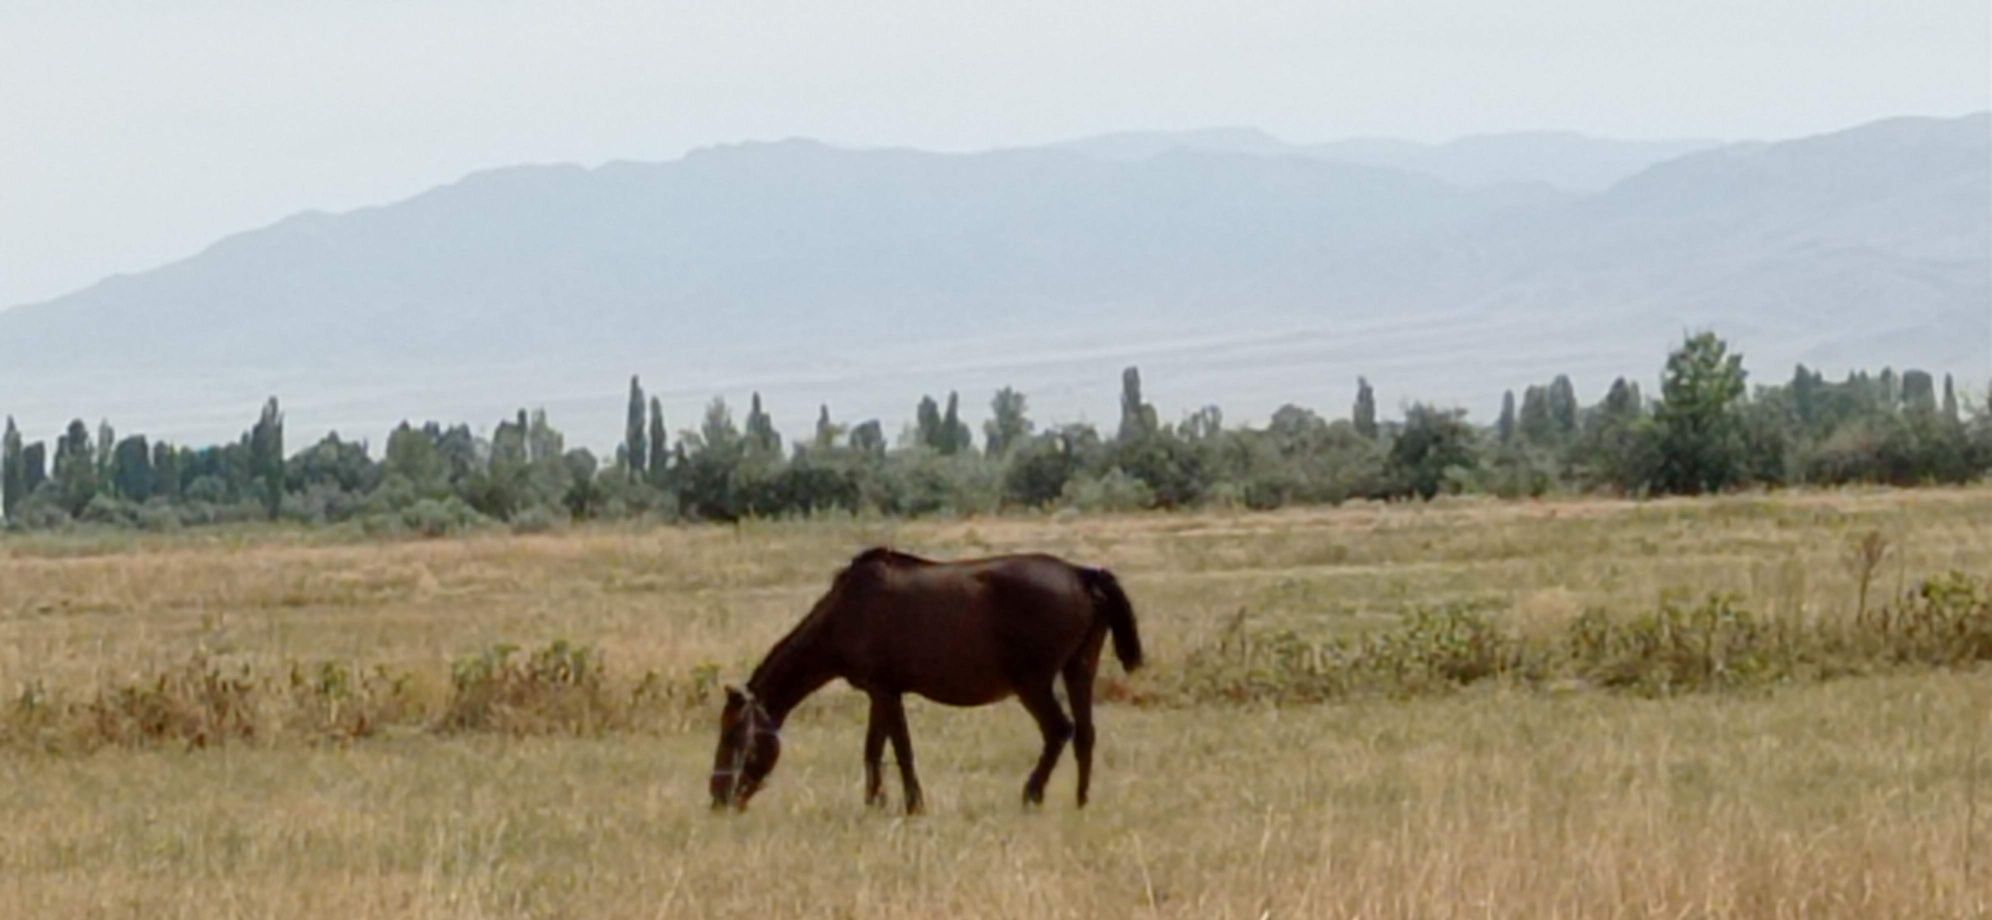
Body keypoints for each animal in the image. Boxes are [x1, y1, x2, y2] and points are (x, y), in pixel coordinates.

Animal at [709, 545, 1147, 812]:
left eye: (732, 736)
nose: (717, 798)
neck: (846, 611)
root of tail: (1083, 575)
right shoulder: (880, 693)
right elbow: (874, 748)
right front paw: (874, 802)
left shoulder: (886, 692)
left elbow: (899, 749)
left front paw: (912, 805)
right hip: (1079, 671)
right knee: (1085, 734)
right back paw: (1080, 801)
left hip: (1034, 683)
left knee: (1060, 730)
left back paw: (1031, 794)